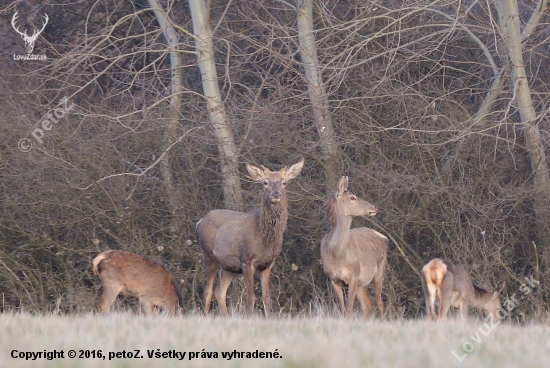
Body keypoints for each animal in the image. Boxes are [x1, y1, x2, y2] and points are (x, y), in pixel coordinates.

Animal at [196, 157, 306, 316]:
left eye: (284, 182)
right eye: (265, 182)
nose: (276, 194)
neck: (265, 240)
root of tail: (198, 222)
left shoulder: (268, 264)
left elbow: (266, 297)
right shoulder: (247, 260)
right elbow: (251, 297)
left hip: (229, 267)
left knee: (220, 292)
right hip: (208, 255)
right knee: (208, 291)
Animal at [322, 177, 390, 318]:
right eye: (352, 197)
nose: (375, 207)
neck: (336, 254)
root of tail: (385, 238)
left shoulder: (353, 276)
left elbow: (349, 309)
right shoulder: (334, 279)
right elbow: (341, 309)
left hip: (379, 270)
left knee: (380, 303)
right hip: (361, 282)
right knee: (368, 304)